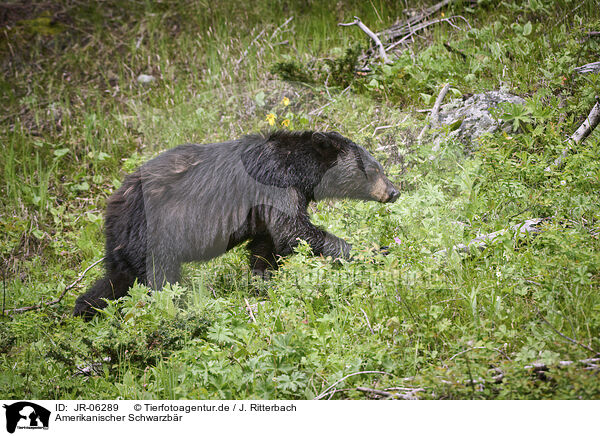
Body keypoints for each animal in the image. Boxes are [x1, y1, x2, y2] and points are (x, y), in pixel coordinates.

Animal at [74, 129, 398, 316]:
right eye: (373, 169)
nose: (394, 191)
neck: (297, 167)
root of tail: (112, 207)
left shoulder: (267, 206)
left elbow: (267, 245)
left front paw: (261, 283)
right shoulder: (273, 184)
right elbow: (294, 232)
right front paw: (376, 250)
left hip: (126, 244)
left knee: (117, 281)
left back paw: (85, 310)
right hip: (154, 232)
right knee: (162, 281)